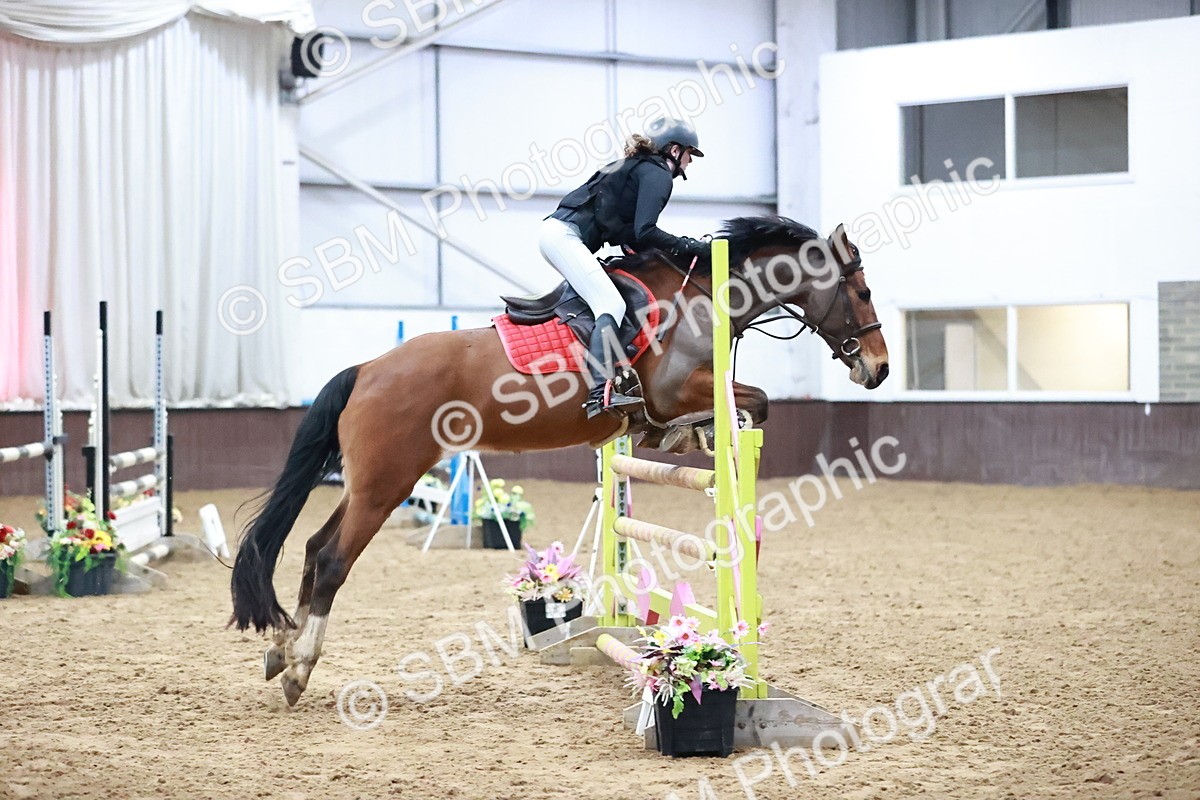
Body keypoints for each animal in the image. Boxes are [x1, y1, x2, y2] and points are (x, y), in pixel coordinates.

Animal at [230, 216, 889, 706]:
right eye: (861, 292)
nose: (878, 368)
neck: (703, 297)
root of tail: (368, 368)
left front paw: (692, 437)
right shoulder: (675, 389)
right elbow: (755, 401)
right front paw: (709, 433)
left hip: (369, 483)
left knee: (313, 546)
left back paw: (282, 652)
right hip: (387, 482)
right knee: (334, 559)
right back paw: (299, 668)